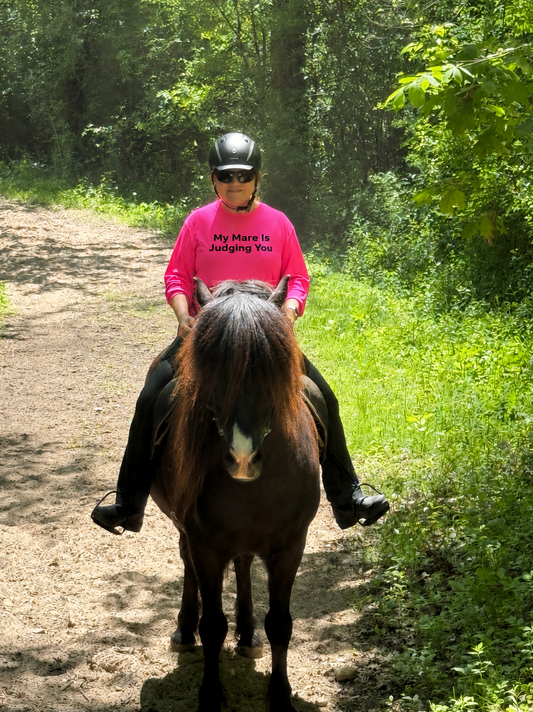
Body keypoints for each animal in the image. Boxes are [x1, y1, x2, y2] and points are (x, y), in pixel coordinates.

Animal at [150, 277, 321, 712]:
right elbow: (212, 625)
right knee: (188, 566)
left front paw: (280, 695)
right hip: (186, 532)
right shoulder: (204, 543)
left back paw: (247, 633)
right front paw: (211, 694)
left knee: (243, 566)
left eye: (272, 371)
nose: (242, 457)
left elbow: (280, 623)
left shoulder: (291, 545)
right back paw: (184, 631)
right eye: (213, 372)